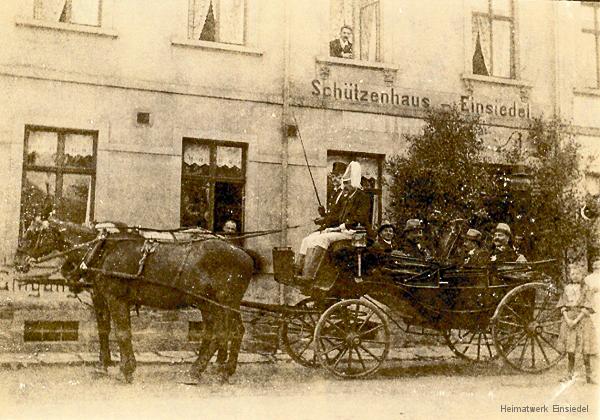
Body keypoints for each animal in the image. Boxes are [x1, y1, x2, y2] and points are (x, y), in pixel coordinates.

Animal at [17, 217, 256, 384]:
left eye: (32, 233)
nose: (18, 261)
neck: (101, 249)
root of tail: (244, 255)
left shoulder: (116, 298)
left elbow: (122, 333)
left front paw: (126, 369)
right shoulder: (101, 296)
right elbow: (104, 329)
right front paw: (105, 365)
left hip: (223, 302)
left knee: (223, 332)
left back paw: (204, 370)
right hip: (211, 304)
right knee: (225, 332)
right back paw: (217, 370)